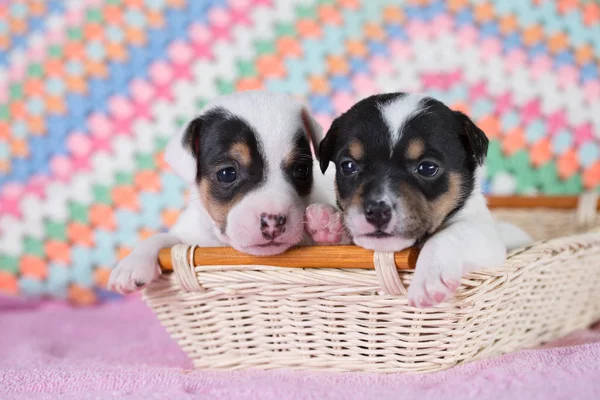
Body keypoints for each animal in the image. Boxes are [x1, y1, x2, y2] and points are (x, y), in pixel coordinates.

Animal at [106, 90, 332, 294]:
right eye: (227, 173)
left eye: (301, 170)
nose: (273, 221)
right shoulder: (192, 234)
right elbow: (166, 238)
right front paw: (133, 262)